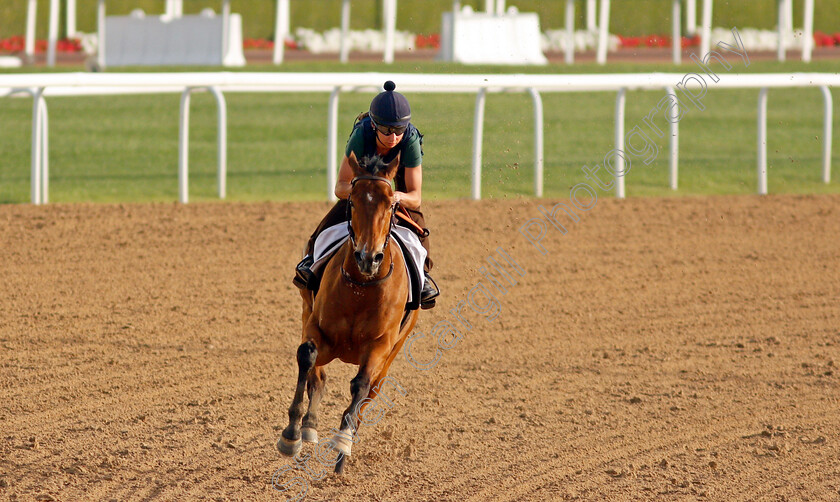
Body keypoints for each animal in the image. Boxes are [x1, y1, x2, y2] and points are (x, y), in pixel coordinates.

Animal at [276, 150, 420, 474]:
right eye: (352, 201)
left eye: (391, 203)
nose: (369, 257)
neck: (362, 287)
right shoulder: (318, 328)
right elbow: (307, 357)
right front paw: (292, 434)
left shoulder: (380, 345)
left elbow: (361, 384)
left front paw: (342, 444)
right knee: (317, 373)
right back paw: (308, 428)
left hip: (393, 351)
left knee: (369, 395)